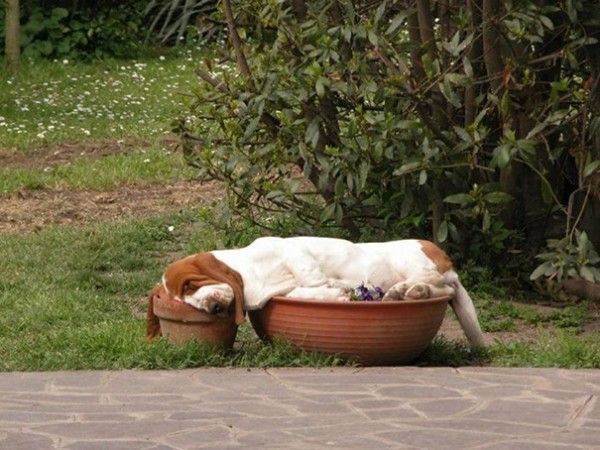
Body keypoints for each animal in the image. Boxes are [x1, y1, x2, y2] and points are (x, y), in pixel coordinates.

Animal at [146, 237, 488, 350]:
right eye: (180, 302)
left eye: (190, 286)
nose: (211, 308)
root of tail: (445, 259)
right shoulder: (285, 291)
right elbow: (303, 293)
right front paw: (336, 294)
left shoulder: (292, 251)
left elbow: (310, 275)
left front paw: (337, 287)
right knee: (440, 288)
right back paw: (405, 292)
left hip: (412, 260)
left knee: (438, 284)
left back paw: (406, 290)